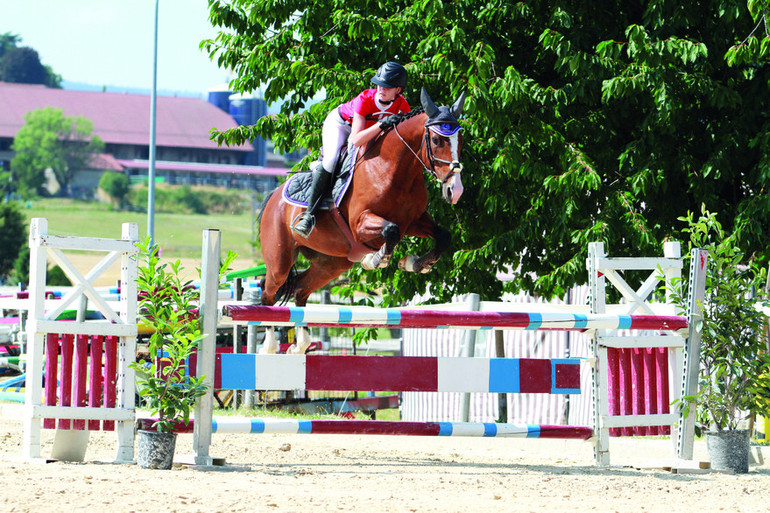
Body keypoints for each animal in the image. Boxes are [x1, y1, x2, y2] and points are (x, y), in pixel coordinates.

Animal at [258, 88, 464, 352]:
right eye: (437, 140)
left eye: (461, 140)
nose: (454, 191)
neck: (393, 168)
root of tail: (273, 198)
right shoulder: (361, 224)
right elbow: (390, 231)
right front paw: (375, 259)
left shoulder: (414, 221)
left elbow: (443, 236)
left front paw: (415, 263)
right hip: (280, 260)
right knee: (268, 292)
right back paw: (270, 345)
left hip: (331, 264)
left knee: (301, 290)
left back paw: (301, 344)